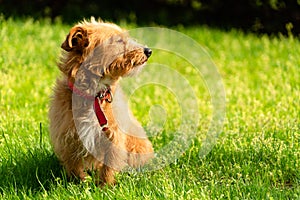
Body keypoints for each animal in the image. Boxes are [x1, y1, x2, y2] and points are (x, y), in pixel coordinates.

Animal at [49, 18, 154, 185]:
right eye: (118, 40)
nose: (148, 51)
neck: (95, 97)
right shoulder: (67, 137)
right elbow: (73, 166)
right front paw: (80, 183)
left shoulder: (114, 136)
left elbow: (108, 166)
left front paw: (104, 186)